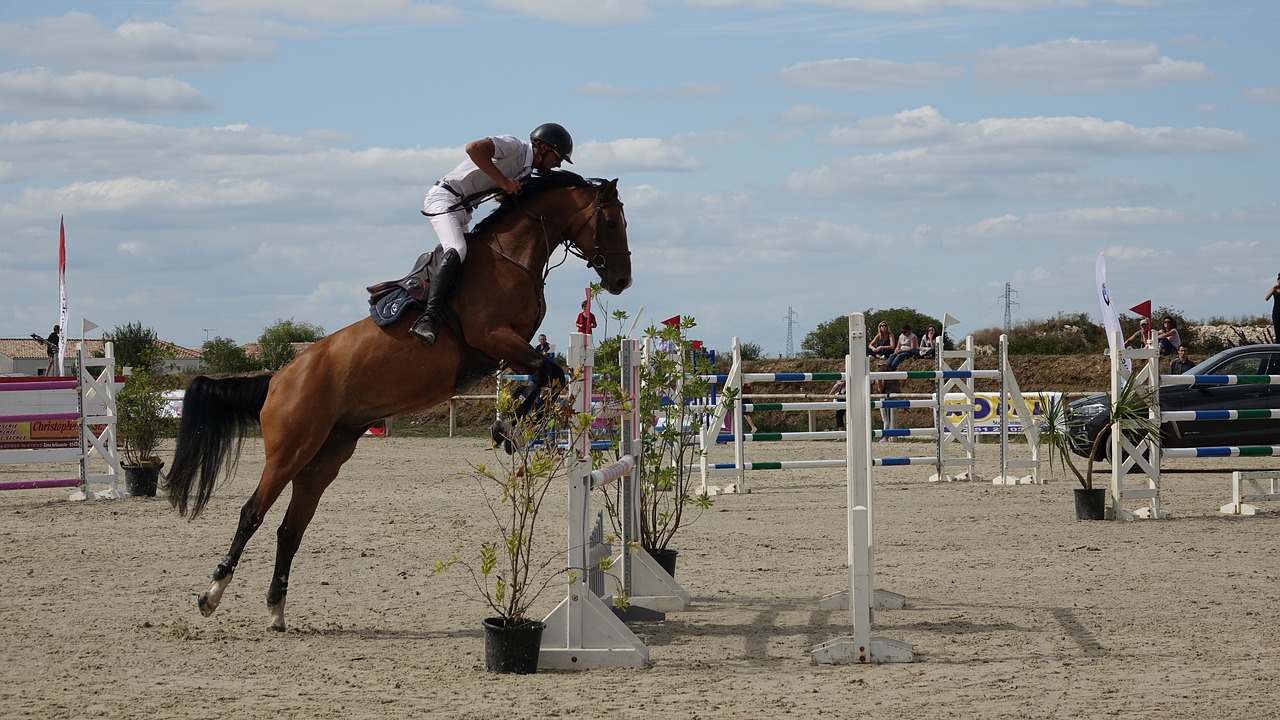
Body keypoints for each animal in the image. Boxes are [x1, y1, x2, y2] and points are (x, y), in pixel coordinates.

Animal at [165, 167, 634, 627]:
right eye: (612, 222)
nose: (621, 281)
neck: (510, 258)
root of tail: (277, 379)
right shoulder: (494, 337)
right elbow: (548, 372)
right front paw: (509, 426)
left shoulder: (514, 347)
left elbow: (548, 373)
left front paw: (510, 424)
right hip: (289, 451)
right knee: (252, 513)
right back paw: (211, 594)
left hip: (324, 458)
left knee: (289, 528)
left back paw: (277, 608)